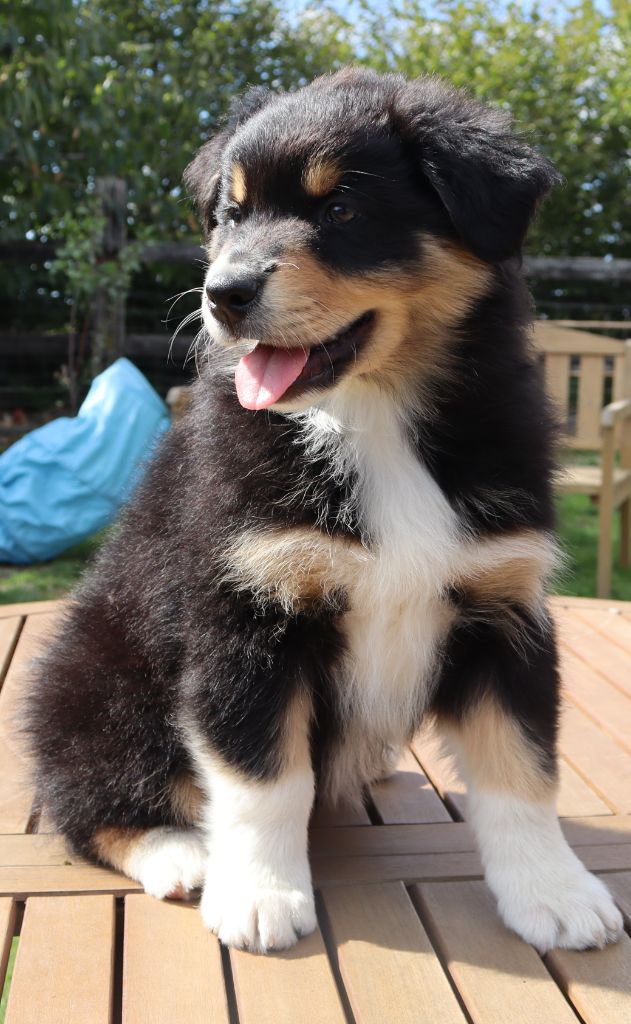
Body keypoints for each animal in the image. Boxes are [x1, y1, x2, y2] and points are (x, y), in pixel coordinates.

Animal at [27, 68, 623, 954]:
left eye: (340, 208)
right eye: (231, 214)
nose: (222, 294)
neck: (371, 417)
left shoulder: (503, 603)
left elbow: (520, 767)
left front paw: (552, 893)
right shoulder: (246, 610)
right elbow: (262, 777)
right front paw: (260, 895)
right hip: (95, 679)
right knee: (85, 797)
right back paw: (179, 853)